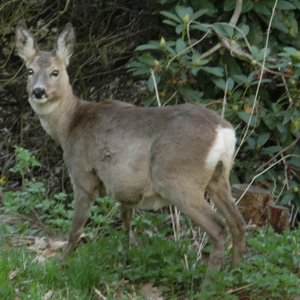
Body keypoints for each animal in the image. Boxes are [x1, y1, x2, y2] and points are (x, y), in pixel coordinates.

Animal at [15, 21, 246, 282]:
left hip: (178, 178)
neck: (69, 125)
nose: (38, 91)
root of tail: (224, 132)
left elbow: (76, 229)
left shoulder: (83, 175)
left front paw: (61, 264)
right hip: (219, 176)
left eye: (55, 72)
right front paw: (126, 256)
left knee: (219, 228)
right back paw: (234, 274)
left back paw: (209, 284)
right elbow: (126, 222)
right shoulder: (124, 186)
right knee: (238, 223)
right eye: (30, 70)